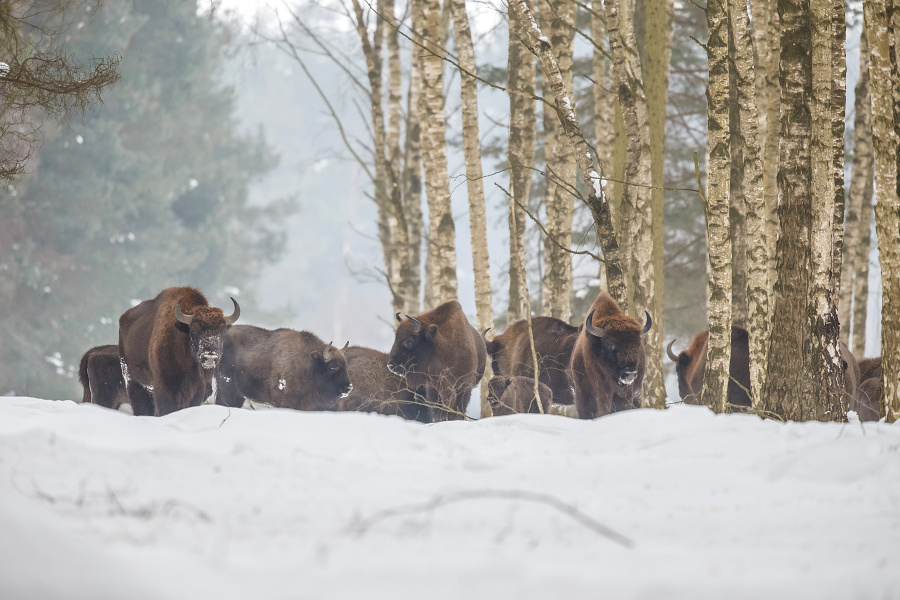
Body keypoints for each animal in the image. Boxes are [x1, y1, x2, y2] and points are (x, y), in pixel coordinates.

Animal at [215, 324, 352, 412]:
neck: (310, 364)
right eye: (333, 367)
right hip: (227, 386)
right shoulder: (286, 402)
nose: (348, 387)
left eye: (345, 365)